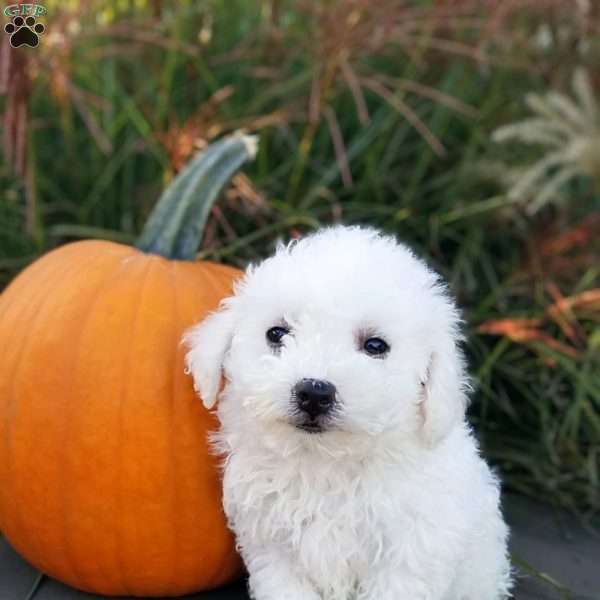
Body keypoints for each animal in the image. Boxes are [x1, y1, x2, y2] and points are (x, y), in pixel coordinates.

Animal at [184, 226, 510, 600]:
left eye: (375, 346)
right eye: (277, 333)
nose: (314, 392)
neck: (325, 463)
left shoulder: (410, 552)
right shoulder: (274, 547)